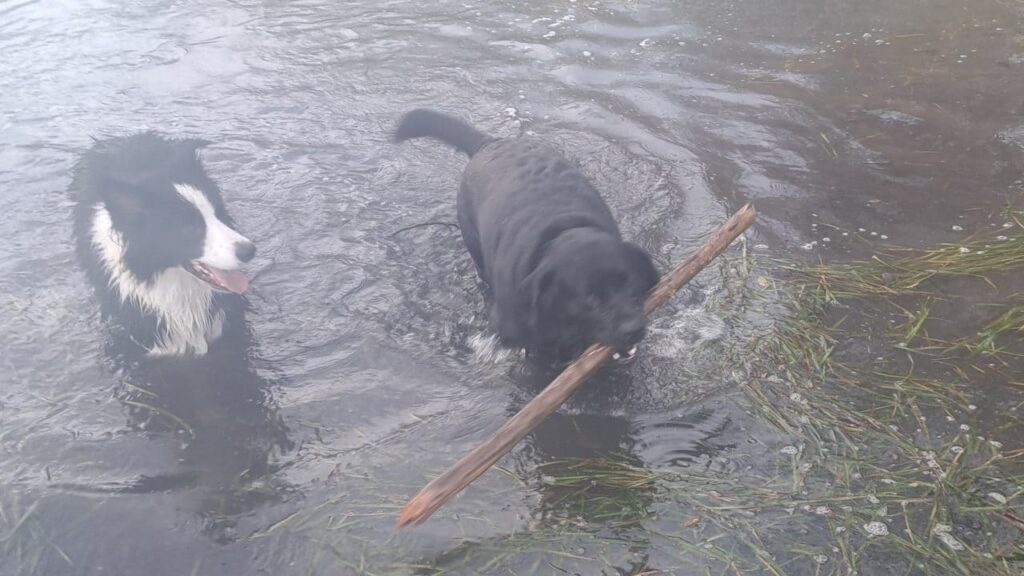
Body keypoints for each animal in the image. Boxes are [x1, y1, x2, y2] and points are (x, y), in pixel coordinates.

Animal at [391, 108, 655, 360]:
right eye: (590, 298)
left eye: (630, 282)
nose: (633, 329)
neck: (562, 230)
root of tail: (490, 143)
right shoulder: (509, 330)